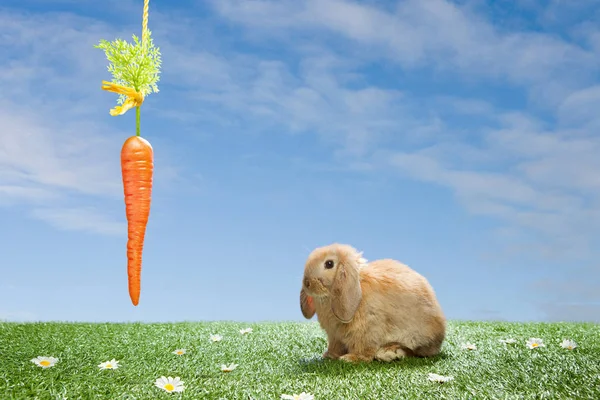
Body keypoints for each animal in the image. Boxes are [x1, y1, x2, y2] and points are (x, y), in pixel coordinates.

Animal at [300, 244, 446, 362]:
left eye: (329, 264)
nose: (307, 283)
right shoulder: (334, 335)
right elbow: (335, 346)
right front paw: (329, 355)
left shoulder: (366, 330)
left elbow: (364, 349)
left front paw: (350, 358)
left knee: (415, 351)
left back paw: (388, 353)